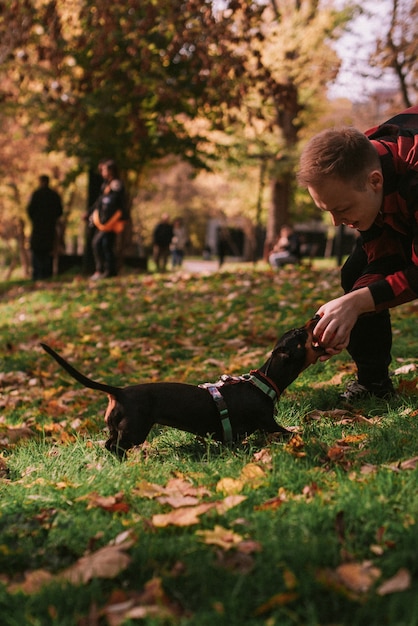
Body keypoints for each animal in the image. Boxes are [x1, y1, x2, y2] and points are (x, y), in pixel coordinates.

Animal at [40, 316, 324, 454]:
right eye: (300, 334)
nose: (315, 316)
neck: (262, 383)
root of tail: (118, 392)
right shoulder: (267, 423)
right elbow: (290, 432)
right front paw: (308, 432)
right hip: (135, 431)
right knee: (115, 447)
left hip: (120, 428)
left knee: (109, 443)